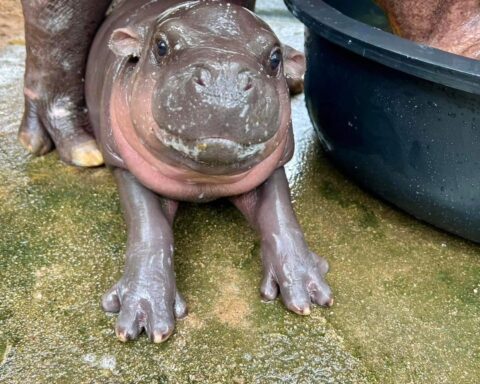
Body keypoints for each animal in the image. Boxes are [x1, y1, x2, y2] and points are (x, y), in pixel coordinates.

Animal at [81, 0, 334, 342]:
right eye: (160, 46)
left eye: (275, 58)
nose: (224, 79)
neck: (203, 180)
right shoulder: (127, 166)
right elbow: (150, 228)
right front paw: (144, 314)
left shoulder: (271, 166)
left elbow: (280, 213)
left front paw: (306, 290)